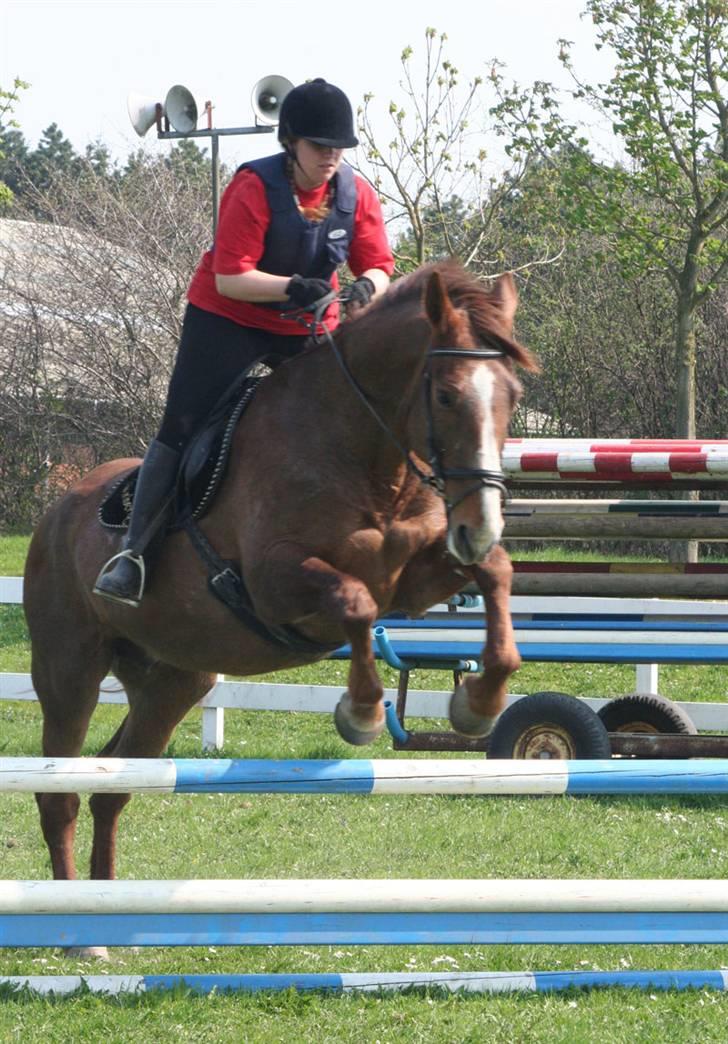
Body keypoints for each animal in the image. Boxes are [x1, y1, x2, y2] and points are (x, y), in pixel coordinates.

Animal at [25, 256, 534, 885]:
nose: (480, 524)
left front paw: (479, 705)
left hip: (172, 679)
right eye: (444, 395)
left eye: (512, 394)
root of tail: (58, 509)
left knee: (111, 784)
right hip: (68, 669)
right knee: (59, 792)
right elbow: (355, 601)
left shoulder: (414, 581)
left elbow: (495, 574)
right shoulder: (275, 586)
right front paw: (361, 713)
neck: (366, 457)